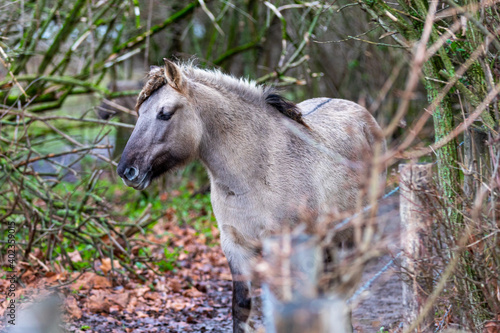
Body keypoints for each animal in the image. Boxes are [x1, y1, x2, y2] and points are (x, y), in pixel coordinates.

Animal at [117, 58, 386, 330]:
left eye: (165, 113)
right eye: (140, 112)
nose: (126, 171)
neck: (257, 169)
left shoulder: (281, 245)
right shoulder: (234, 245)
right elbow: (242, 307)